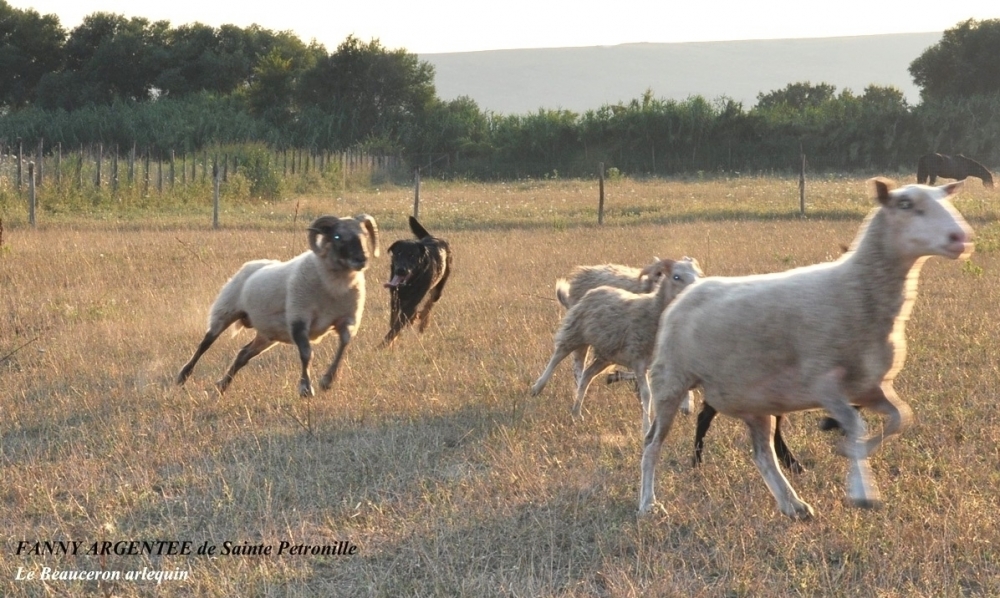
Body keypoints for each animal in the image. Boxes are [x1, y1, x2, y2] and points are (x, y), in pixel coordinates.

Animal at [178, 216, 380, 398]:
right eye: (337, 237)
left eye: (364, 234)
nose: (362, 259)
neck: (333, 286)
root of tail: (251, 265)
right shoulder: (299, 317)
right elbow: (307, 354)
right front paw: (306, 388)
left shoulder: (347, 319)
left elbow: (343, 346)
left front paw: (327, 381)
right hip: (226, 310)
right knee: (205, 343)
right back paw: (183, 376)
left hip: (267, 334)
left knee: (243, 354)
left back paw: (222, 386)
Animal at [380, 217, 452, 346]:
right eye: (398, 253)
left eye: (412, 255)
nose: (401, 270)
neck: (408, 284)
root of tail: (432, 237)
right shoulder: (395, 300)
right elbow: (393, 323)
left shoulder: (411, 304)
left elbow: (395, 329)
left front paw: (382, 346)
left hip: (439, 288)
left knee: (430, 304)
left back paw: (423, 322)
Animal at [532, 260, 704, 434]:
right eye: (676, 277)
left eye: (698, 274)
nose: (696, 291)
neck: (652, 309)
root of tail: (594, 290)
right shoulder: (638, 360)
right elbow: (646, 394)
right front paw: (646, 428)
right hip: (576, 332)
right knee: (559, 356)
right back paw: (538, 387)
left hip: (605, 355)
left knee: (587, 375)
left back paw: (576, 412)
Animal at [636, 180, 972, 524]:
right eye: (905, 204)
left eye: (944, 199)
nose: (960, 238)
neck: (856, 290)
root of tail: (687, 294)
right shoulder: (824, 383)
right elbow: (857, 425)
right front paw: (861, 490)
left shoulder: (870, 387)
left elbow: (900, 418)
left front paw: (854, 452)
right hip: (671, 380)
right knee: (652, 443)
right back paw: (649, 503)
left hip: (754, 400)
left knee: (763, 455)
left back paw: (793, 505)